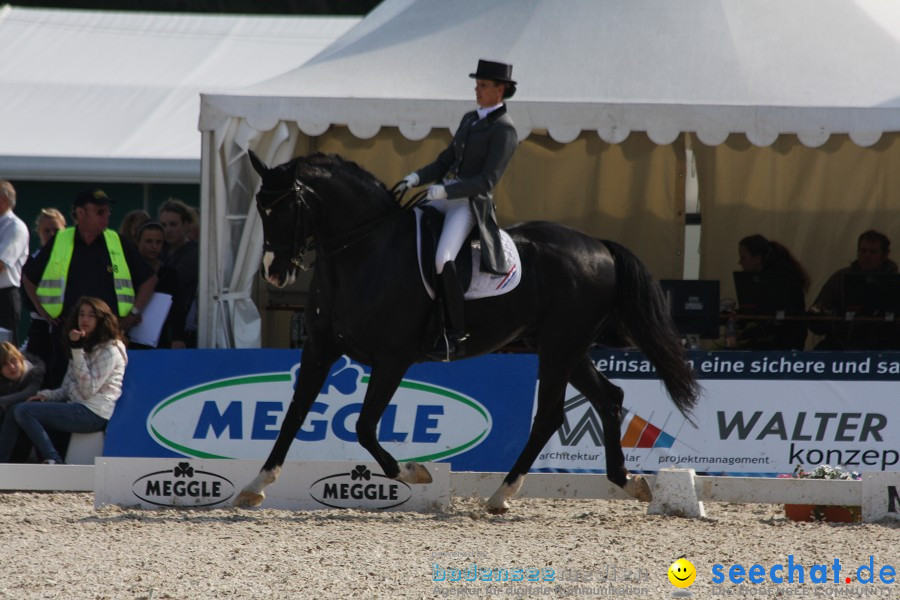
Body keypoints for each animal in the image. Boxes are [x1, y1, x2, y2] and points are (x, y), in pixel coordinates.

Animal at [237, 150, 696, 510]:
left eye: (286, 208)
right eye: (260, 207)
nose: (274, 273)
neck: (363, 251)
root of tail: (600, 247)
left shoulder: (393, 358)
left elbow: (364, 426)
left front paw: (414, 472)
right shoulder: (319, 348)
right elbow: (294, 415)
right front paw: (256, 485)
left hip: (559, 347)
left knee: (550, 415)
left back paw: (502, 495)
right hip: (566, 347)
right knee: (609, 399)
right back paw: (628, 481)